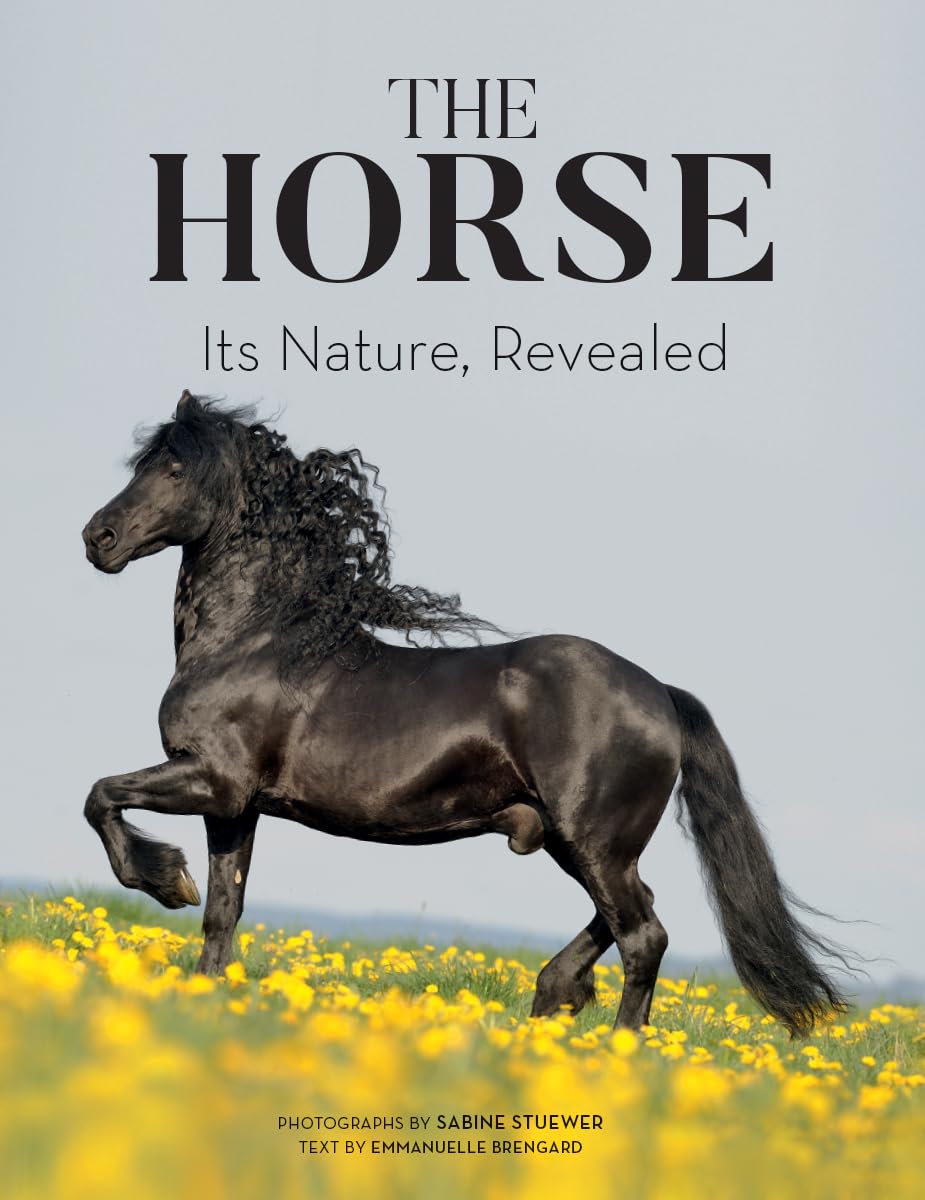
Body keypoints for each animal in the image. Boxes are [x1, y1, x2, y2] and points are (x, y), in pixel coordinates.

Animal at [81, 391, 847, 1035]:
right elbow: (221, 912)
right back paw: (552, 994)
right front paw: (205, 988)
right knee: (636, 913)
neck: (256, 637)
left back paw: (615, 1042)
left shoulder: (211, 779)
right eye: (142, 464)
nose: (98, 537)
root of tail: (659, 692)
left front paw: (163, 879)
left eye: (174, 469)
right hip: (578, 842)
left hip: (594, 842)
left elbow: (101, 798)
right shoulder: (236, 805)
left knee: (644, 935)